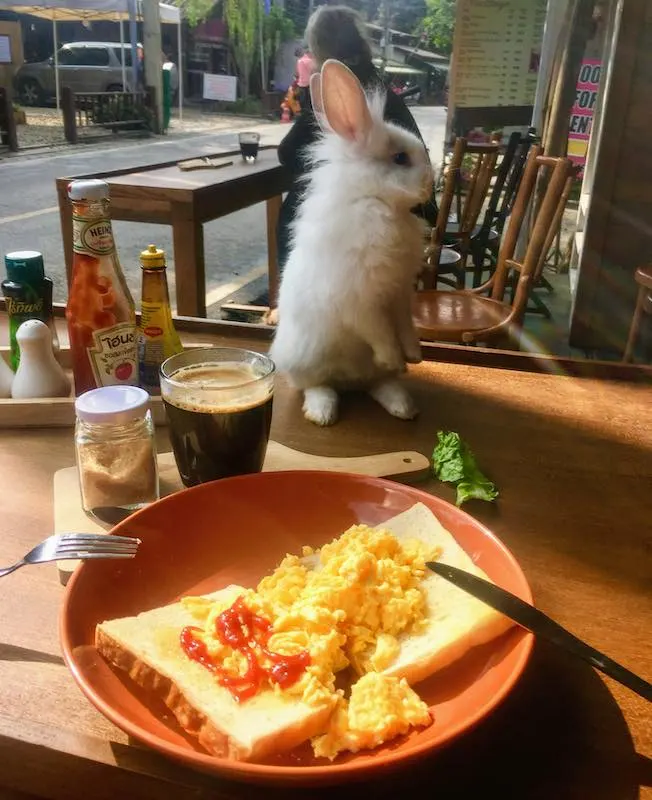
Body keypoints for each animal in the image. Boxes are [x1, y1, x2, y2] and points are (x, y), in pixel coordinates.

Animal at [270, 58, 432, 424]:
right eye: (400, 158)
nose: (431, 184)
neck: (375, 201)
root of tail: (349, 382)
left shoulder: (400, 293)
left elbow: (404, 325)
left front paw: (413, 356)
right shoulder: (359, 299)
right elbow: (379, 331)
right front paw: (395, 357)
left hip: (366, 376)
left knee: (377, 386)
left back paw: (404, 405)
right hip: (304, 362)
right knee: (316, 386)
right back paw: (323, 412)